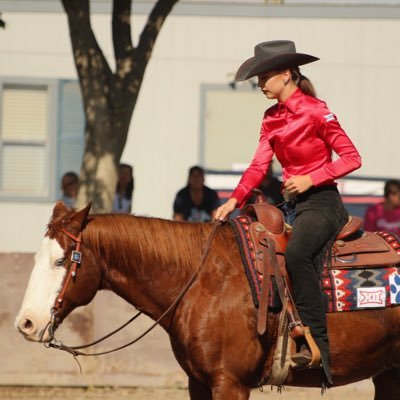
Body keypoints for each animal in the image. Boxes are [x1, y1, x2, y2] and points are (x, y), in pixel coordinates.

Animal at [15, 203, 400, 400]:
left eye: (61, 261)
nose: (26, 324)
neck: (204, 281)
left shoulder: (230, 383)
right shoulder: (198, 383)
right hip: (387, 375)